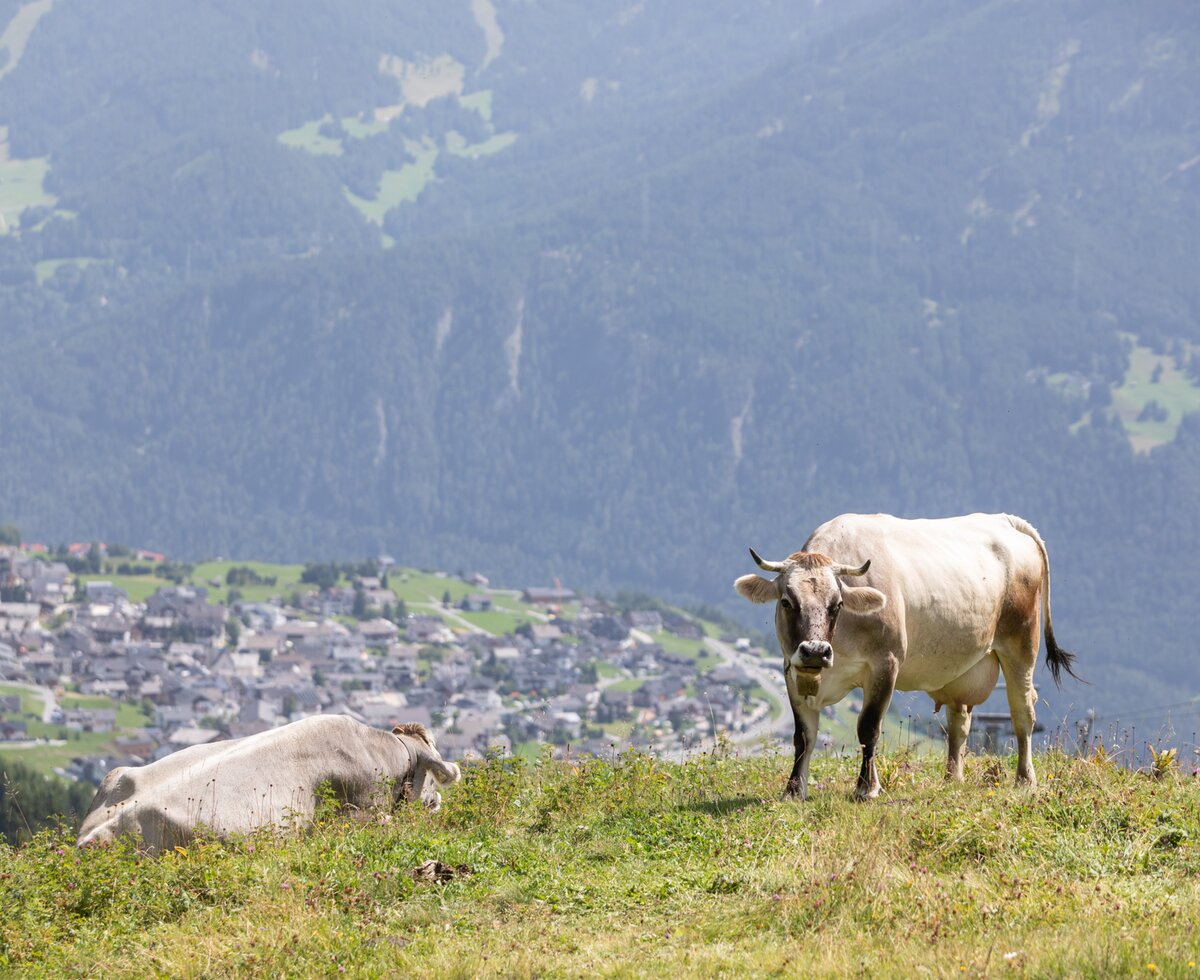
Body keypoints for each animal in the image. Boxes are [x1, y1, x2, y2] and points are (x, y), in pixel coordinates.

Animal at [734, 513, 1084, 796]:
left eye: (837, 605)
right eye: (786, 601)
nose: (816, 651)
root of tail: (1006, 520)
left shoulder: (885, 663)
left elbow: (868, 728)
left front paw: (867, 788)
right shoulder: (791, 670)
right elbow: (804, 735)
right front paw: (794, 789)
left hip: (1021, 644)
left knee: (1023, 712)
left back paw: (1025, 780)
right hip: (962, 667)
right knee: (960, 721)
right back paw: (952, 778)